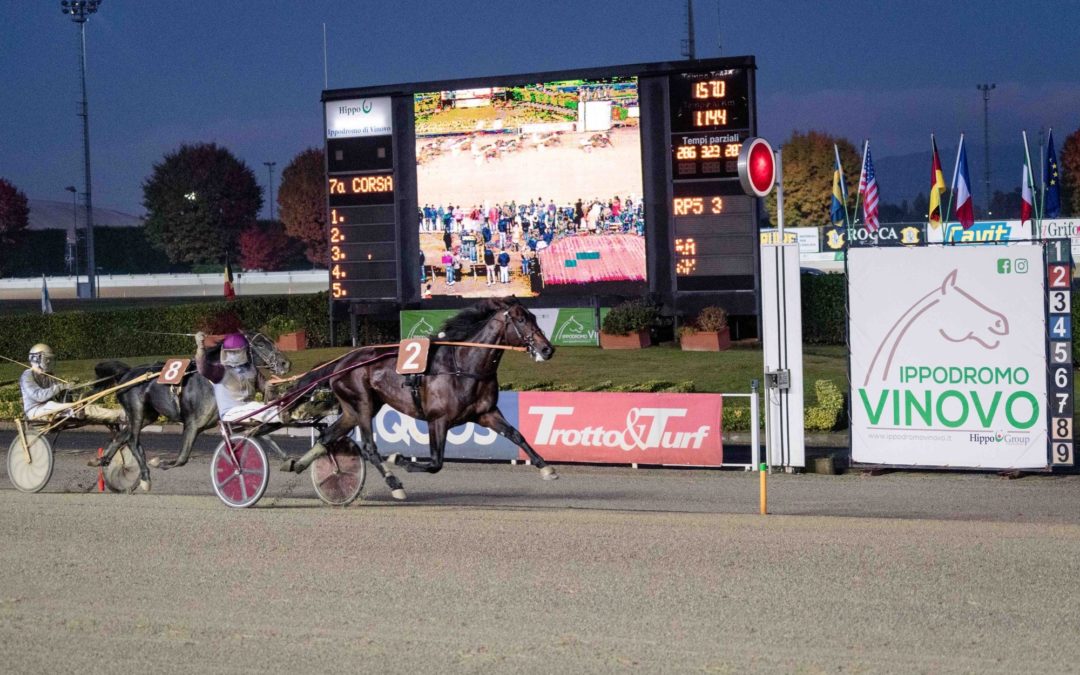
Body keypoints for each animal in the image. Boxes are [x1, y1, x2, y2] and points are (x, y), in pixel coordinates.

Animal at [93, 332, 291, 490]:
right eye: (260, 344)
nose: (285, 363)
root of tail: (126, 373)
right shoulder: (192, 424)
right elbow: (182, 458)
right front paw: (160, 462)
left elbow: (265, 436)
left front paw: (288, 460)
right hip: (137, 411)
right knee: (132, 440)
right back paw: (144, 477)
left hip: (149, 415)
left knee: (122, 436)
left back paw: (101, 460)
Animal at [282, 298, 557, 496]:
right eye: (521, 319)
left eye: (534, 317)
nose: (547, 349)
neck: (463, 365)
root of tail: (341, 361)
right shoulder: (438, 419)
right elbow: (435, 463)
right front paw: (400, 459)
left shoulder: (486, 413)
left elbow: (516, 434)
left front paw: (546, 467)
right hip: (362, 403)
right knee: (369, 448)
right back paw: (395, 484)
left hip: (354, 409)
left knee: (327, 436)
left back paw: (298, 465)